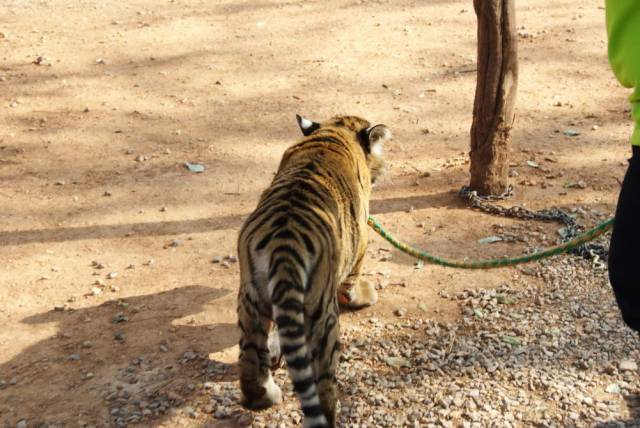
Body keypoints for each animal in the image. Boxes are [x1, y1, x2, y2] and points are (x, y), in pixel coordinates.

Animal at [236, 114, 390, 428]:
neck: (335, 130)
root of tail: (284, 247)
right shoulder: (361, 241)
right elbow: (352, 284)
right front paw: (367, 294)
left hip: (250, 299)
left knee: (249, 358)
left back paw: (263, 396)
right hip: (322, 316)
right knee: (322, 387)